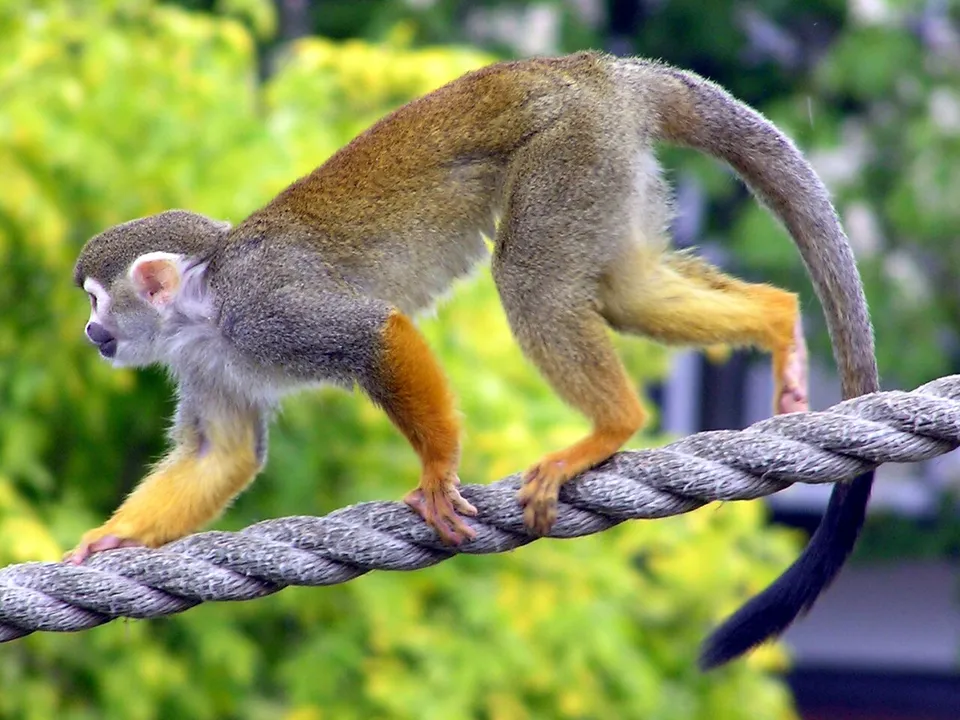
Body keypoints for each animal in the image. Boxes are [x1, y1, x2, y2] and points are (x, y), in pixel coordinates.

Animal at [66, 52, 877, 667]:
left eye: (97, 301)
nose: (91, 333)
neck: (204, 304)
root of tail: (601, 68)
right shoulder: (204, 359)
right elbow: (224, 453)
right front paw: (111, 539)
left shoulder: (264, 308)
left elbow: (376, 333)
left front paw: (434, 472)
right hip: (609, 165)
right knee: (626, 292)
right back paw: (777, 321)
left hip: (569, 149)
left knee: (529, 280)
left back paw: (612, 425)